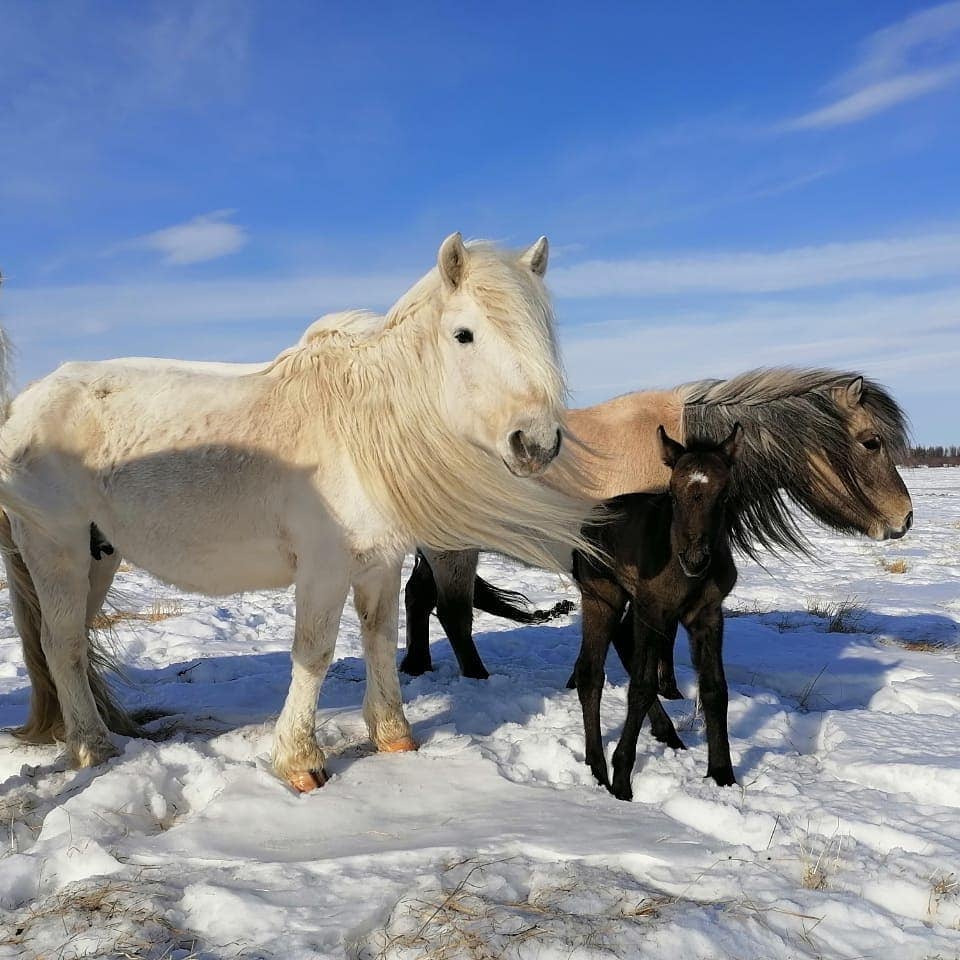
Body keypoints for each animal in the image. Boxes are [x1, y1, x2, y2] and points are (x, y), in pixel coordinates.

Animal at [0, 236, 600, 792]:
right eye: (464, 334)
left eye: (542, 332)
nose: (536, 444)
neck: (363, 428)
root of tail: (24, 404)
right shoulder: (324, 567)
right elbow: (314, 652)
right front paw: (300, 763)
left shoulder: (380, 563)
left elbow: (379, 637)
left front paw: (394, 737)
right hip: (56, 548)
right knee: (62, 644)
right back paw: (92, 747)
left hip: (98, 555)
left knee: (72, 641)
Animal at [402, 364, 912, 680]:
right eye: (871, 441)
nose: (905, 518)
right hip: (454, 549)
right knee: (452, 613)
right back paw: (477, 678)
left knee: (418, 598)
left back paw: (417, 667)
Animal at [568, 426, 744, 796]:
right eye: (673, 494)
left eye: (723, 495)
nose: (696, 559)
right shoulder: (652, 611)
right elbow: (641, 687)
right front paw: (622, 780)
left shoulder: (708, 615)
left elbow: (715, 689)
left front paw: (722, 774)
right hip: (602, 596)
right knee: (590, 672)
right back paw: (597, 767)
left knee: (621, 642)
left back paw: (667, 733)